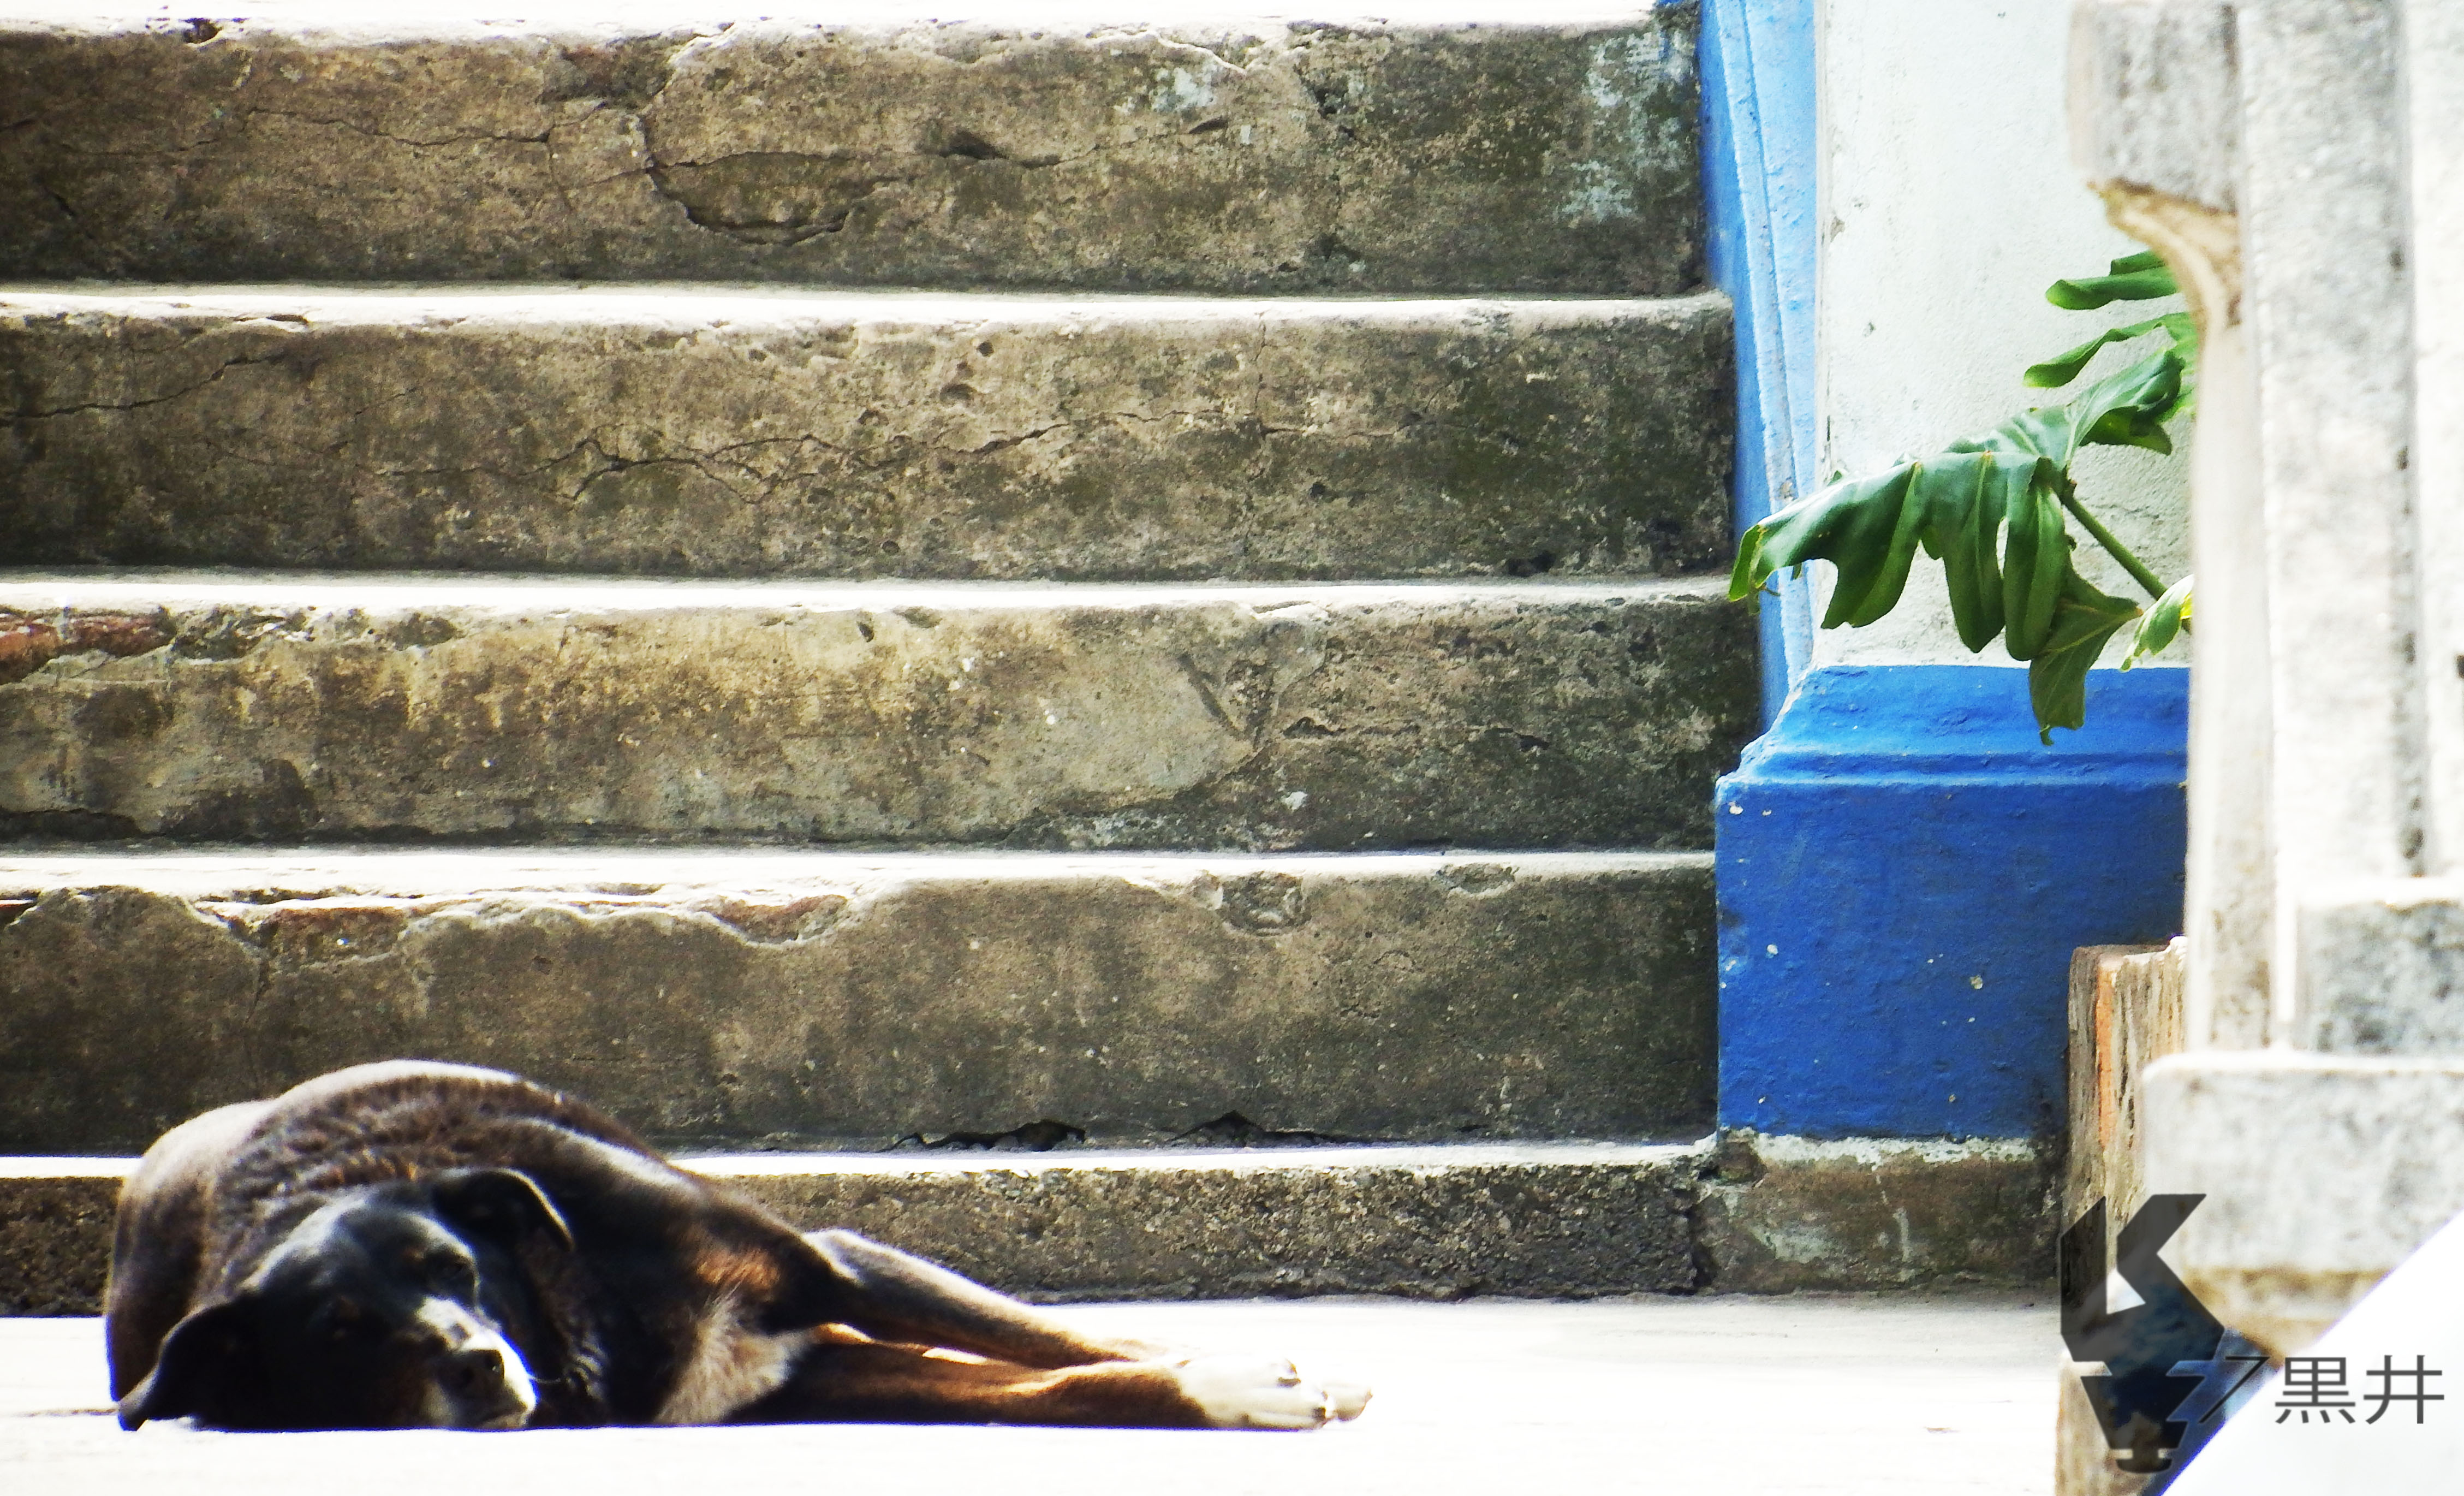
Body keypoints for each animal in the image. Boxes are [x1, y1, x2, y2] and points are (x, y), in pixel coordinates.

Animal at [106, 1061, 1371, 1433]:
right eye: (340, 1330)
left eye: (453, 1270)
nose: (472, 1360)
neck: (584, 1314)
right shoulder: (812, 1370)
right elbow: (1073, 1384)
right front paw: (1231, 1388)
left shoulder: (833, 1263)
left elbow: (1060, 1340)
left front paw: (1253, 1371)